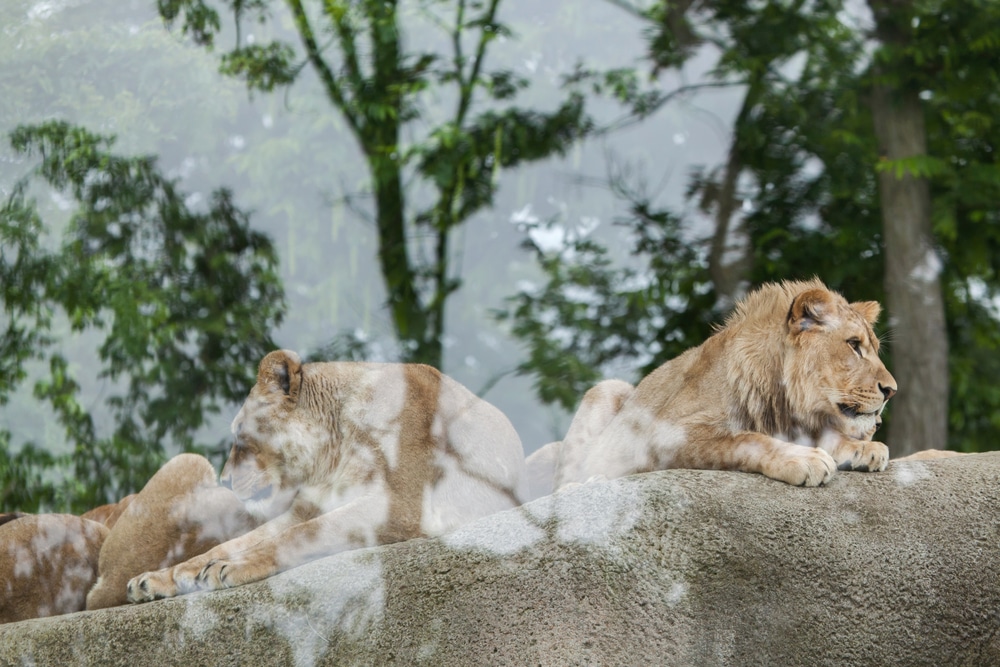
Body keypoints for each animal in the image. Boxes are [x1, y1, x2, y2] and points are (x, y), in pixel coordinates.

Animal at [129, 350, 528, 600]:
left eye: (241, 433)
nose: (224, 480)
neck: (334, 450)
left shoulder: (400, 506)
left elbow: (297, 536)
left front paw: (229, 567)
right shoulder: (306, 508)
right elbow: (235, 541)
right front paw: (161, 578)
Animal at [556, 280, 900, 488]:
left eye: (873, 347)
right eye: (854, 345)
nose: (891, 390)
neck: (785, 404)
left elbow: (832, 437)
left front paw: (864, 449)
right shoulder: (664, 436)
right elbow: (747, 439)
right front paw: (804, 459)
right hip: (606, 389)